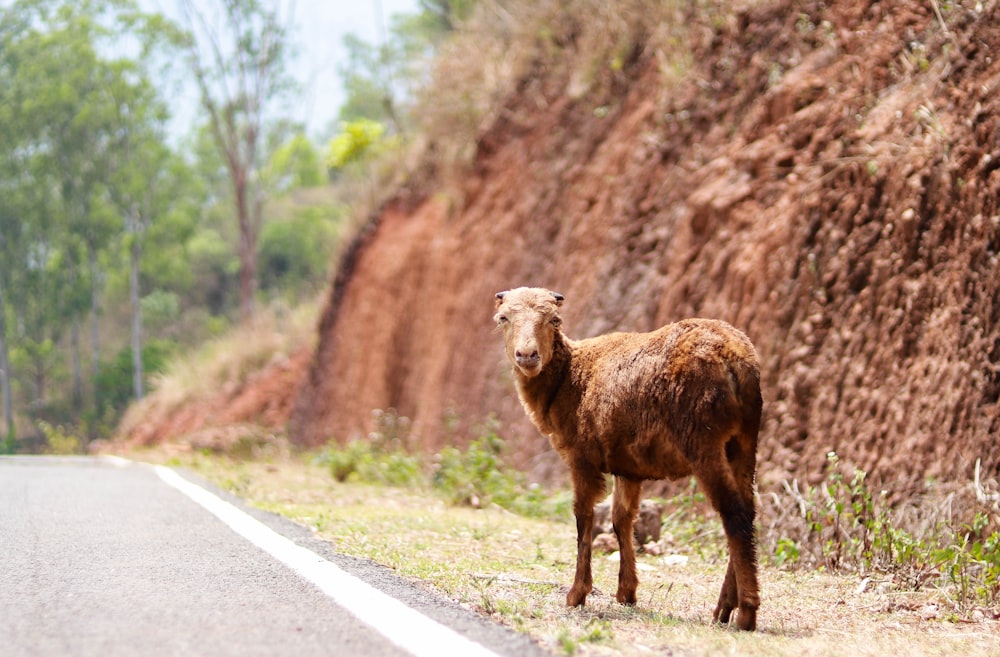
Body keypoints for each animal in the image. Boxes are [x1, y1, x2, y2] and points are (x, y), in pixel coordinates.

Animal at [496, 288, 760, 632]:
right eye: (504, 318)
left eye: (554, 320)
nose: (527, 356)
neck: (569, 378)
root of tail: (737, 360)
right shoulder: (627, 466)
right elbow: (622, 518)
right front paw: (627, 592)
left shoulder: (582, 456)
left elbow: (584, 516)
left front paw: (577, 593)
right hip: (743, 442)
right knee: (748, 511)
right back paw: (724, 608)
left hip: (704, 440)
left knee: (733, 513)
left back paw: (745, 613)